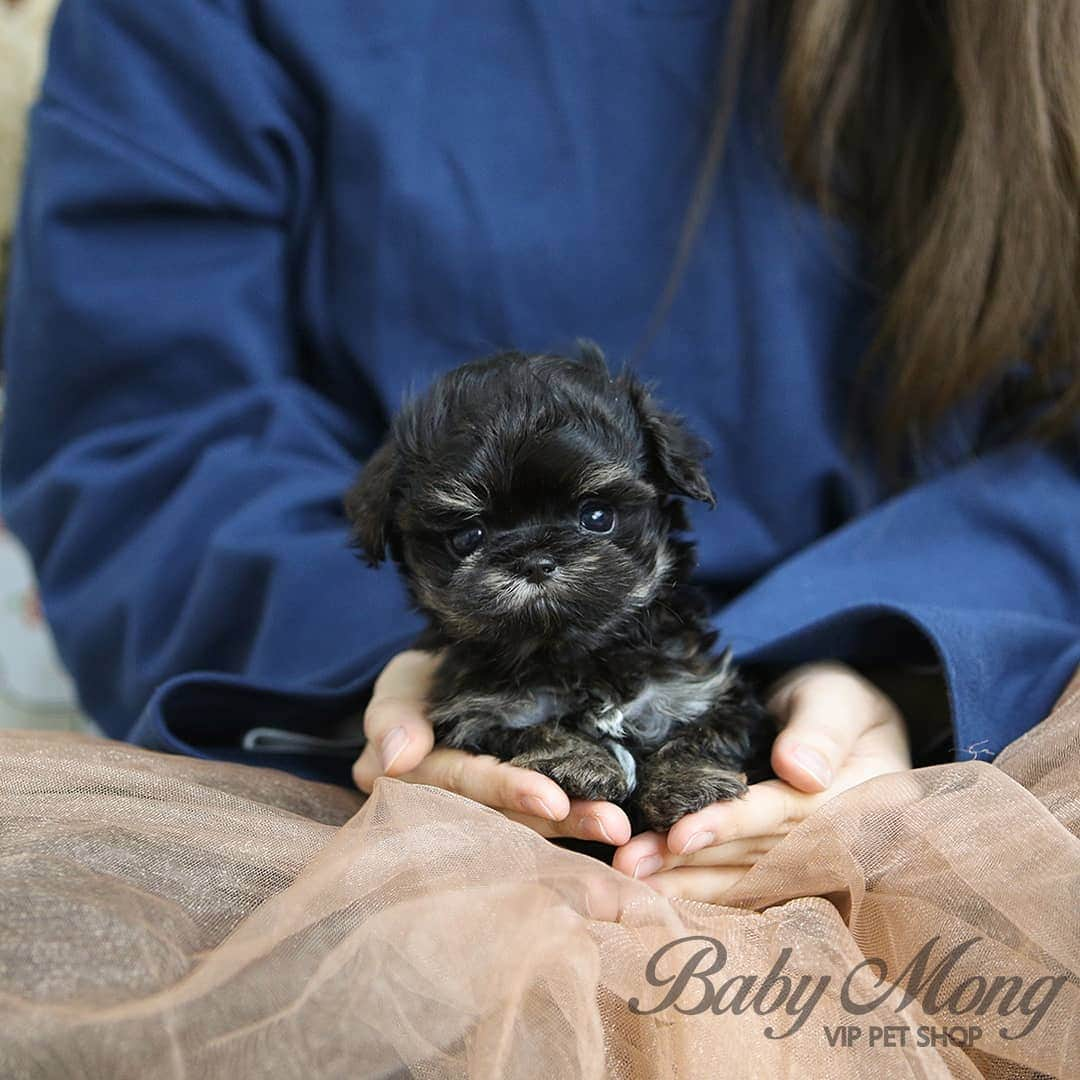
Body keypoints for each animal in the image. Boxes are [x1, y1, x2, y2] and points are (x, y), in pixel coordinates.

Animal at [349, 341, 773, 829]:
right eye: (468, 537)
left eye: (597, 516)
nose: (534, 560)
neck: (578, 655)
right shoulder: (481, 711)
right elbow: (537, 729)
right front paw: (580, 762)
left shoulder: (703, 688)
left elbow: (700, 732)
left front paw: (687, 781)